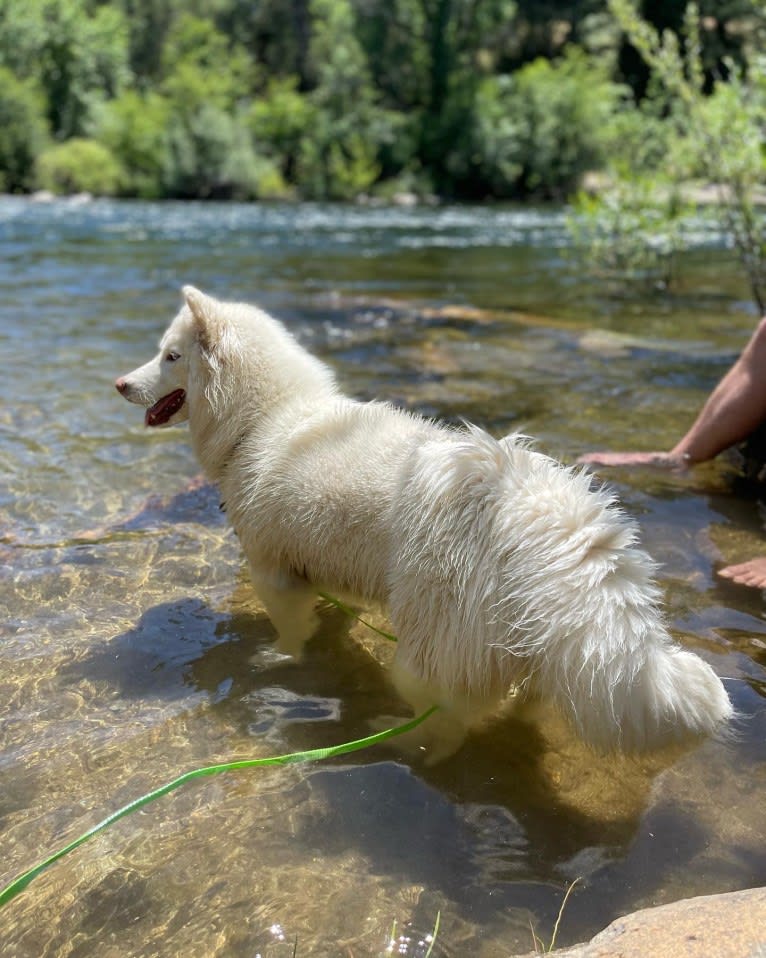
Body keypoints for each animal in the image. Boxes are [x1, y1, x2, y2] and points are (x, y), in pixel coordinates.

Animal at [117, 288, 736, 760]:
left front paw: (279, 659)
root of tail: (540, 512)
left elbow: (292, 633)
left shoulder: (274, 571)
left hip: (424, 654)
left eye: (170, 355)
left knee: (446, 726)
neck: (265, 419)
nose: (119, 383)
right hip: (527, 637)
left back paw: (397, 744)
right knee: (532, 695)